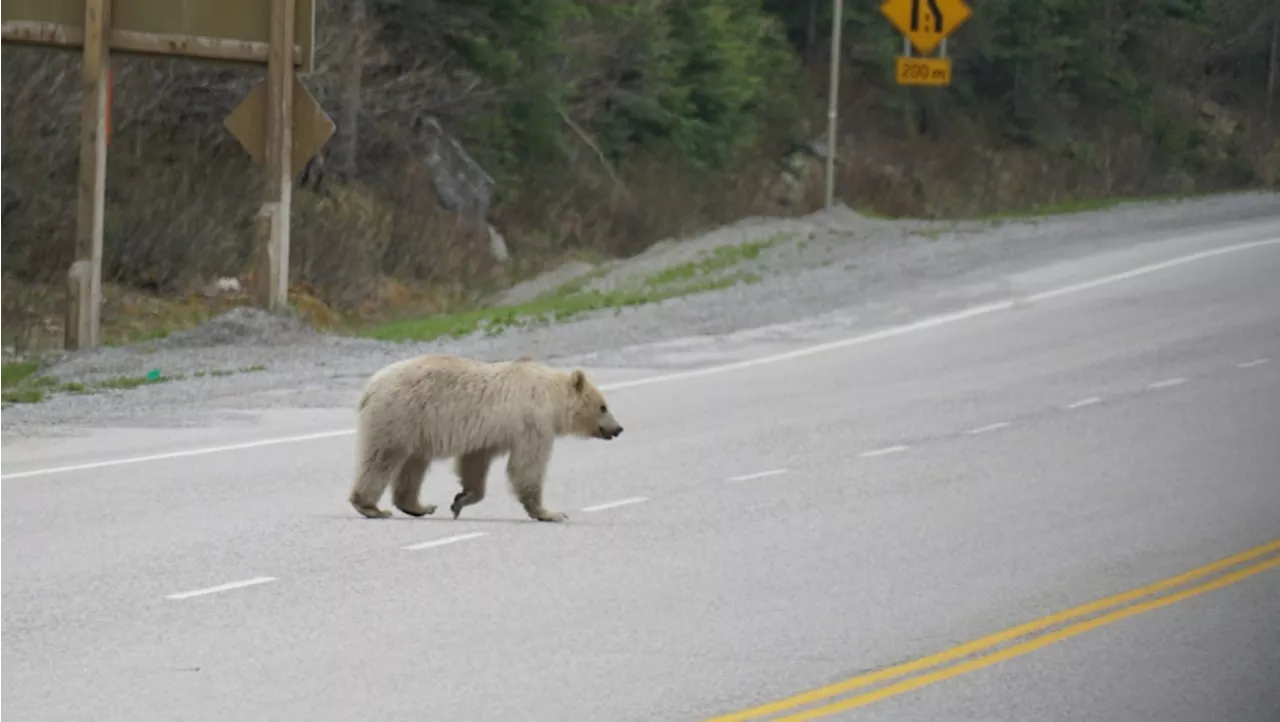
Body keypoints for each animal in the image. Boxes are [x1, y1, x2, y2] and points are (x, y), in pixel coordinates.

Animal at [340, 353, 619, 519]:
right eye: (603, 406)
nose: (618, 428)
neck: (551, 396)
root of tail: (370, 387)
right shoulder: (532, 422)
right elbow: (527, 465)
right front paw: (549, 513)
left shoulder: (487, 435)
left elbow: (474, 462)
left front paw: (461, 499)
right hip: (399, 415)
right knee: (381, 458)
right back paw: (371, 506)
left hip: (416, 429)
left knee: (414, 464)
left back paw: (418, 506)